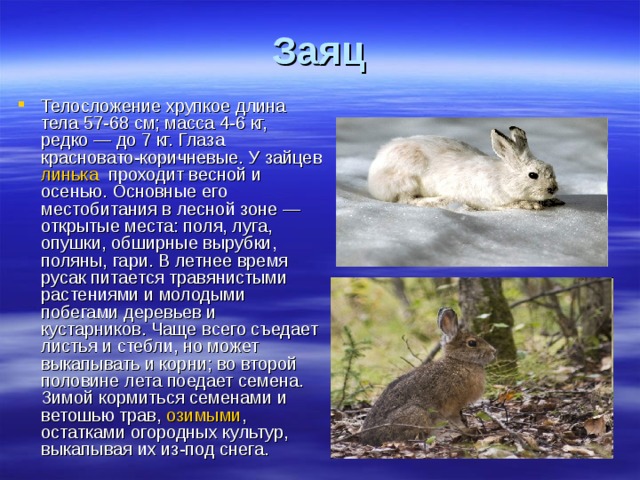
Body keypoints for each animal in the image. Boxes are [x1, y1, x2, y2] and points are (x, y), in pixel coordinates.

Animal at [359, 307, 496, 446]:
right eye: (472, 343)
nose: (494, 351)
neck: (458, 361)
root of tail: (368, 439)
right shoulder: (453, 406)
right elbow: (456, 421)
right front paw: (468, 430)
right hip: (418, 414)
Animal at [367, 126, 565, 210]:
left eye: (552, 171)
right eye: (533, 175)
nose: (553, 189)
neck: (503, 178)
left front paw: (553, 201)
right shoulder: (493, 200)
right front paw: (530, 205)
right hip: (406, 180)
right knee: (406, 200)